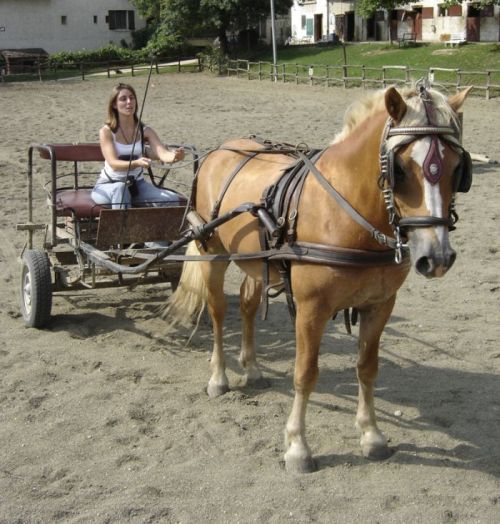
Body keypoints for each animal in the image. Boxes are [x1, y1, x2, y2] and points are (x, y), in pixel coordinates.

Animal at [165, 84, 472, 472]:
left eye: (457, 168)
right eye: (399, 168)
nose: (438, 257)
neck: (347, 211)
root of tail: (219, 150)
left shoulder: (380, 305)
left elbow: (367, 368)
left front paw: (372, 435)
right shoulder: (312, 309)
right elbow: (305, 373)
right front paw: (297, 446)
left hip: (255, 261)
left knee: (248, 306)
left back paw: (253, 369)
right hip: (213, 252)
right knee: (218, 311)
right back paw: (219, 377)